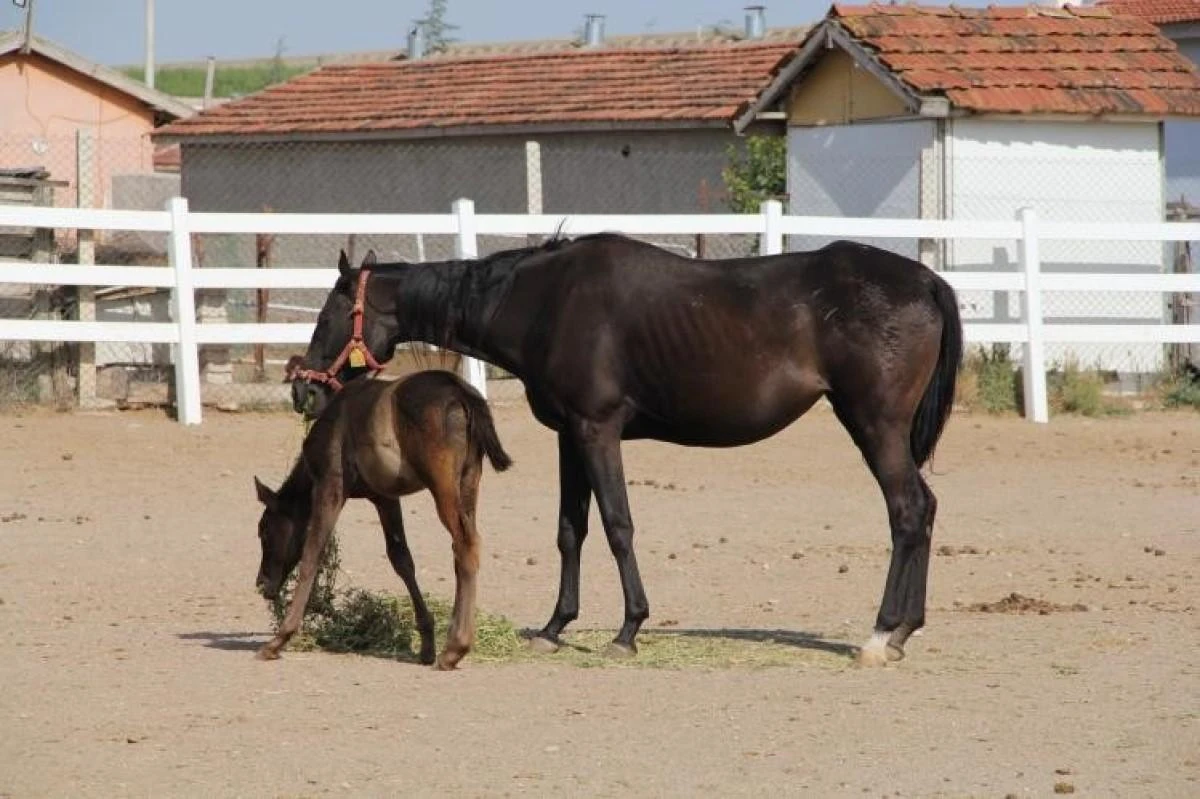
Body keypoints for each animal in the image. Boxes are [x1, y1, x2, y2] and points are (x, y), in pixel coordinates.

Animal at [255, 369, 508, 667]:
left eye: (264, 531)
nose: (262, 583)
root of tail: (460, 392)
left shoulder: (330, 484)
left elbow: (311, 555)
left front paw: (279, 639)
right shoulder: (385, 498)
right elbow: (401, 559)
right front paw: (426, 642)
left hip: (442, 483)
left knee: (465, 543)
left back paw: (455, 648)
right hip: (469, 479)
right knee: (462, 546)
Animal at [295, 235, 960, 657]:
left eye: (328, 316)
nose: (304, 389)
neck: (544, 301)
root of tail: (925, 280)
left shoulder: (598, 429)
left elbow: (618, 524)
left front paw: (628, 629)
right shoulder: (570, 436)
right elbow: (571, 530)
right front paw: (554, 627)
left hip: (874, 424)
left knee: (907, 511)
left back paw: (881, 634)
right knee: (924, 510)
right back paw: (905, 631)